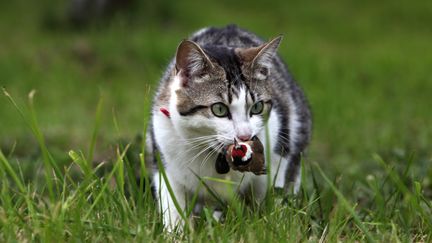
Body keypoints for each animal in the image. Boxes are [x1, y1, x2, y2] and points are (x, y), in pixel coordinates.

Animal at [147, 24, 312, 232]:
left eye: (257, 107)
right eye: (219, 109)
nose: (245, 136)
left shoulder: (278, 153)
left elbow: (273, 196)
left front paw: (274, 224)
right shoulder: (164, 159)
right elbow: (172, 205)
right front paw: (176, 232)